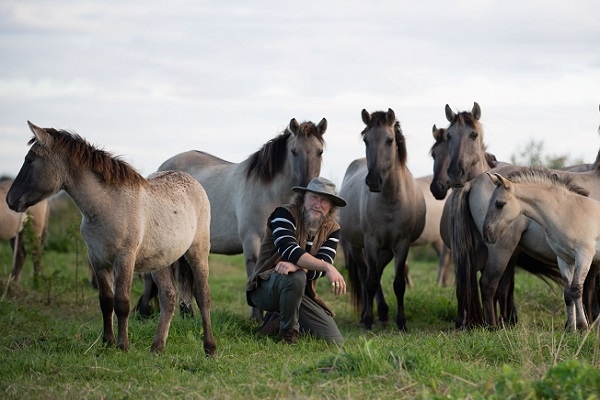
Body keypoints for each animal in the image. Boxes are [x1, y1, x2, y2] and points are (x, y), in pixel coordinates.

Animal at [5, 122, 217, 356]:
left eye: (29, 160)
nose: (10, 200)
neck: (107, 206)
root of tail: (193, 182)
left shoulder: (124, 259)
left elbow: (122, 302)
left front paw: (123, 345)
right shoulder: (97, 260)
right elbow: (106, 301)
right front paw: (108, 342)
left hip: (197, 252)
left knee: (202, 296)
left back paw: (210, 347)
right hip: (160, 260)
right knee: (168, 297)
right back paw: (157, 347)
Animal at [136, 117, 326, 320]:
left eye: (319, 151)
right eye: (294, 151)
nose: (306, 189)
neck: (269, 193)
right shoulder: (252, 240)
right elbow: (253, 272)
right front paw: (256, 317)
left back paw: (186, 313)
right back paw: (144, 312)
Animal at [340, 108, 428, 330]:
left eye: (390, 140)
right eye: (366, 140)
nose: (373, 181)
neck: (390, 199)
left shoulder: (402, 245)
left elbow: (398, 283)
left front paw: (401, 322)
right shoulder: (371, 243)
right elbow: (370, 282)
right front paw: (368, 321)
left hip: (387, 250)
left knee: (377, 272)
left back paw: (382, 311)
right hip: (356, 247)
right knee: (365, 275)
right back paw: (367, 313)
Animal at [486, 167, 596, 330]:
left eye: (500, 204)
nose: (486, 234)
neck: (568, 211)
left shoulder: (584, 255)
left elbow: (576, 290)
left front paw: (583, 326)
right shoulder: (564, 259)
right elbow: (568, 294)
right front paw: (571, 329)